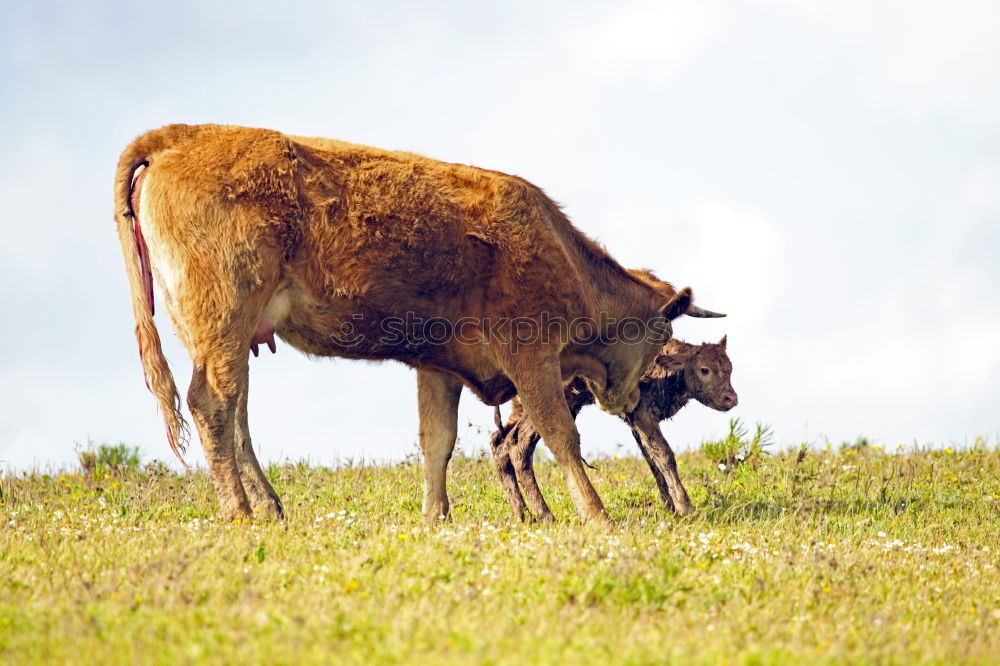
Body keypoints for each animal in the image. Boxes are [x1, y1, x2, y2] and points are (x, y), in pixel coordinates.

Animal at [490, 338, 736, 520]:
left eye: (729, 369)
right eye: (704, 369)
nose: (731, 398)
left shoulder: (636, 422)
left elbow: (652, 460)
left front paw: (670, 508)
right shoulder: (643, 415)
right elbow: (665, 457)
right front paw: (686, 508)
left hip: (519, 410)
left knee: (499, 442)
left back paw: (523, 514)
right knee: (519, 445)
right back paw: (545, 516)